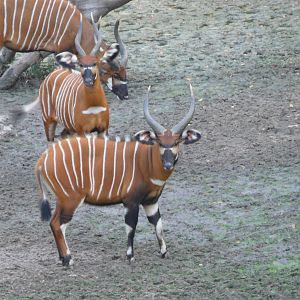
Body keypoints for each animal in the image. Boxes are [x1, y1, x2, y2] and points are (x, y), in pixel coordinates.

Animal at [36, 84, 202, 264]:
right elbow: (131, 226)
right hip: (71, 199)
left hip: (63, 199)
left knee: (53, 222)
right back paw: (68, 259)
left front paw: (164, 252)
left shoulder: (151, 201)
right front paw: (130, 256)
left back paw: (63, 258)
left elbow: (157, 223)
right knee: (58, 224)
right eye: (159, 142)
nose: (168, 164)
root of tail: (43, 159)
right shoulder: (131, 201)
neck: (146, 162)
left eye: (176, 142)